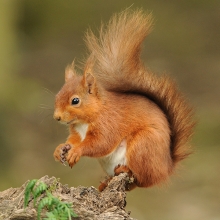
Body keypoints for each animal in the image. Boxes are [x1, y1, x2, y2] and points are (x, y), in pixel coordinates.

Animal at [53, 9, 194, 191]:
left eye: (75, 101)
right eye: (57, 96)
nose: (57, 117)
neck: (88, 118)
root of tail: (166, 168)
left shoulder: (109, 124)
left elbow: (100, 143)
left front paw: (76, 152)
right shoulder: (77, 132)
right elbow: (74, 141)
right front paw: (61, 149)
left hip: (143, 146)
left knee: (141, 179)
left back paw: (125, 170)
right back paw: (105, 183)